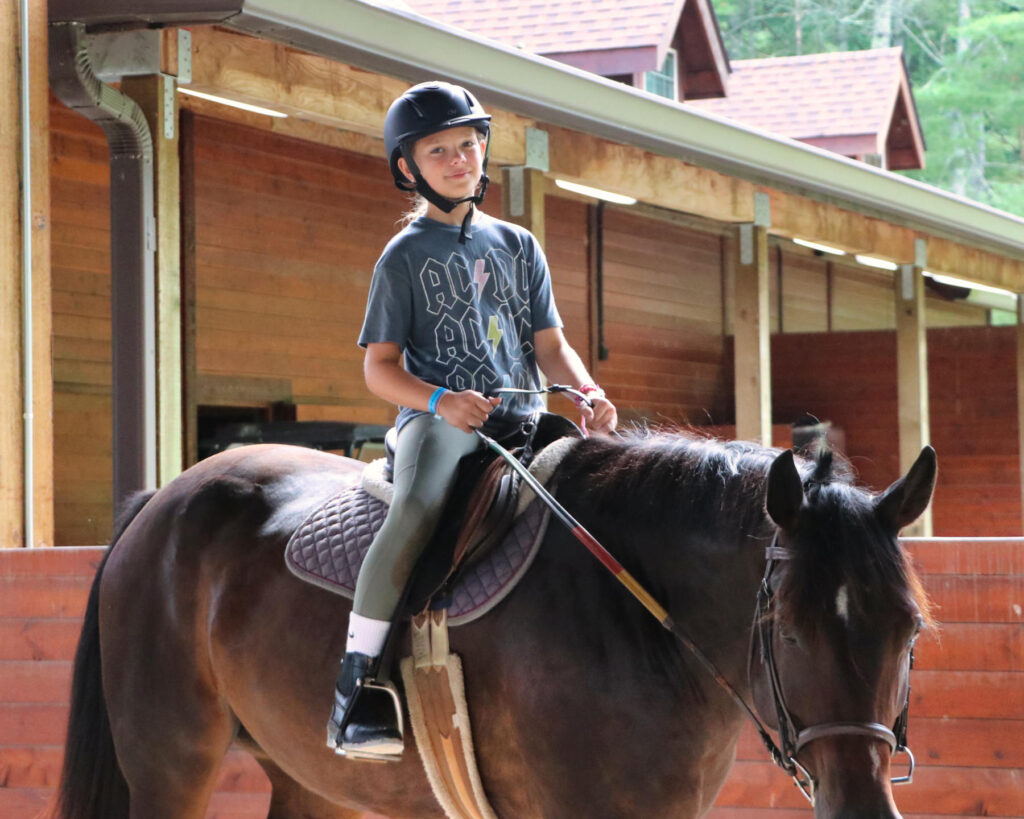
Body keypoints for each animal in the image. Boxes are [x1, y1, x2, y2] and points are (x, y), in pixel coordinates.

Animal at [54, 432, 937, 814]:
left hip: (311, 781)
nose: (862, 808)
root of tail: (160, 502)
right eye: (788, 629)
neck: (636, 616)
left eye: (910, 632)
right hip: (170, 766)